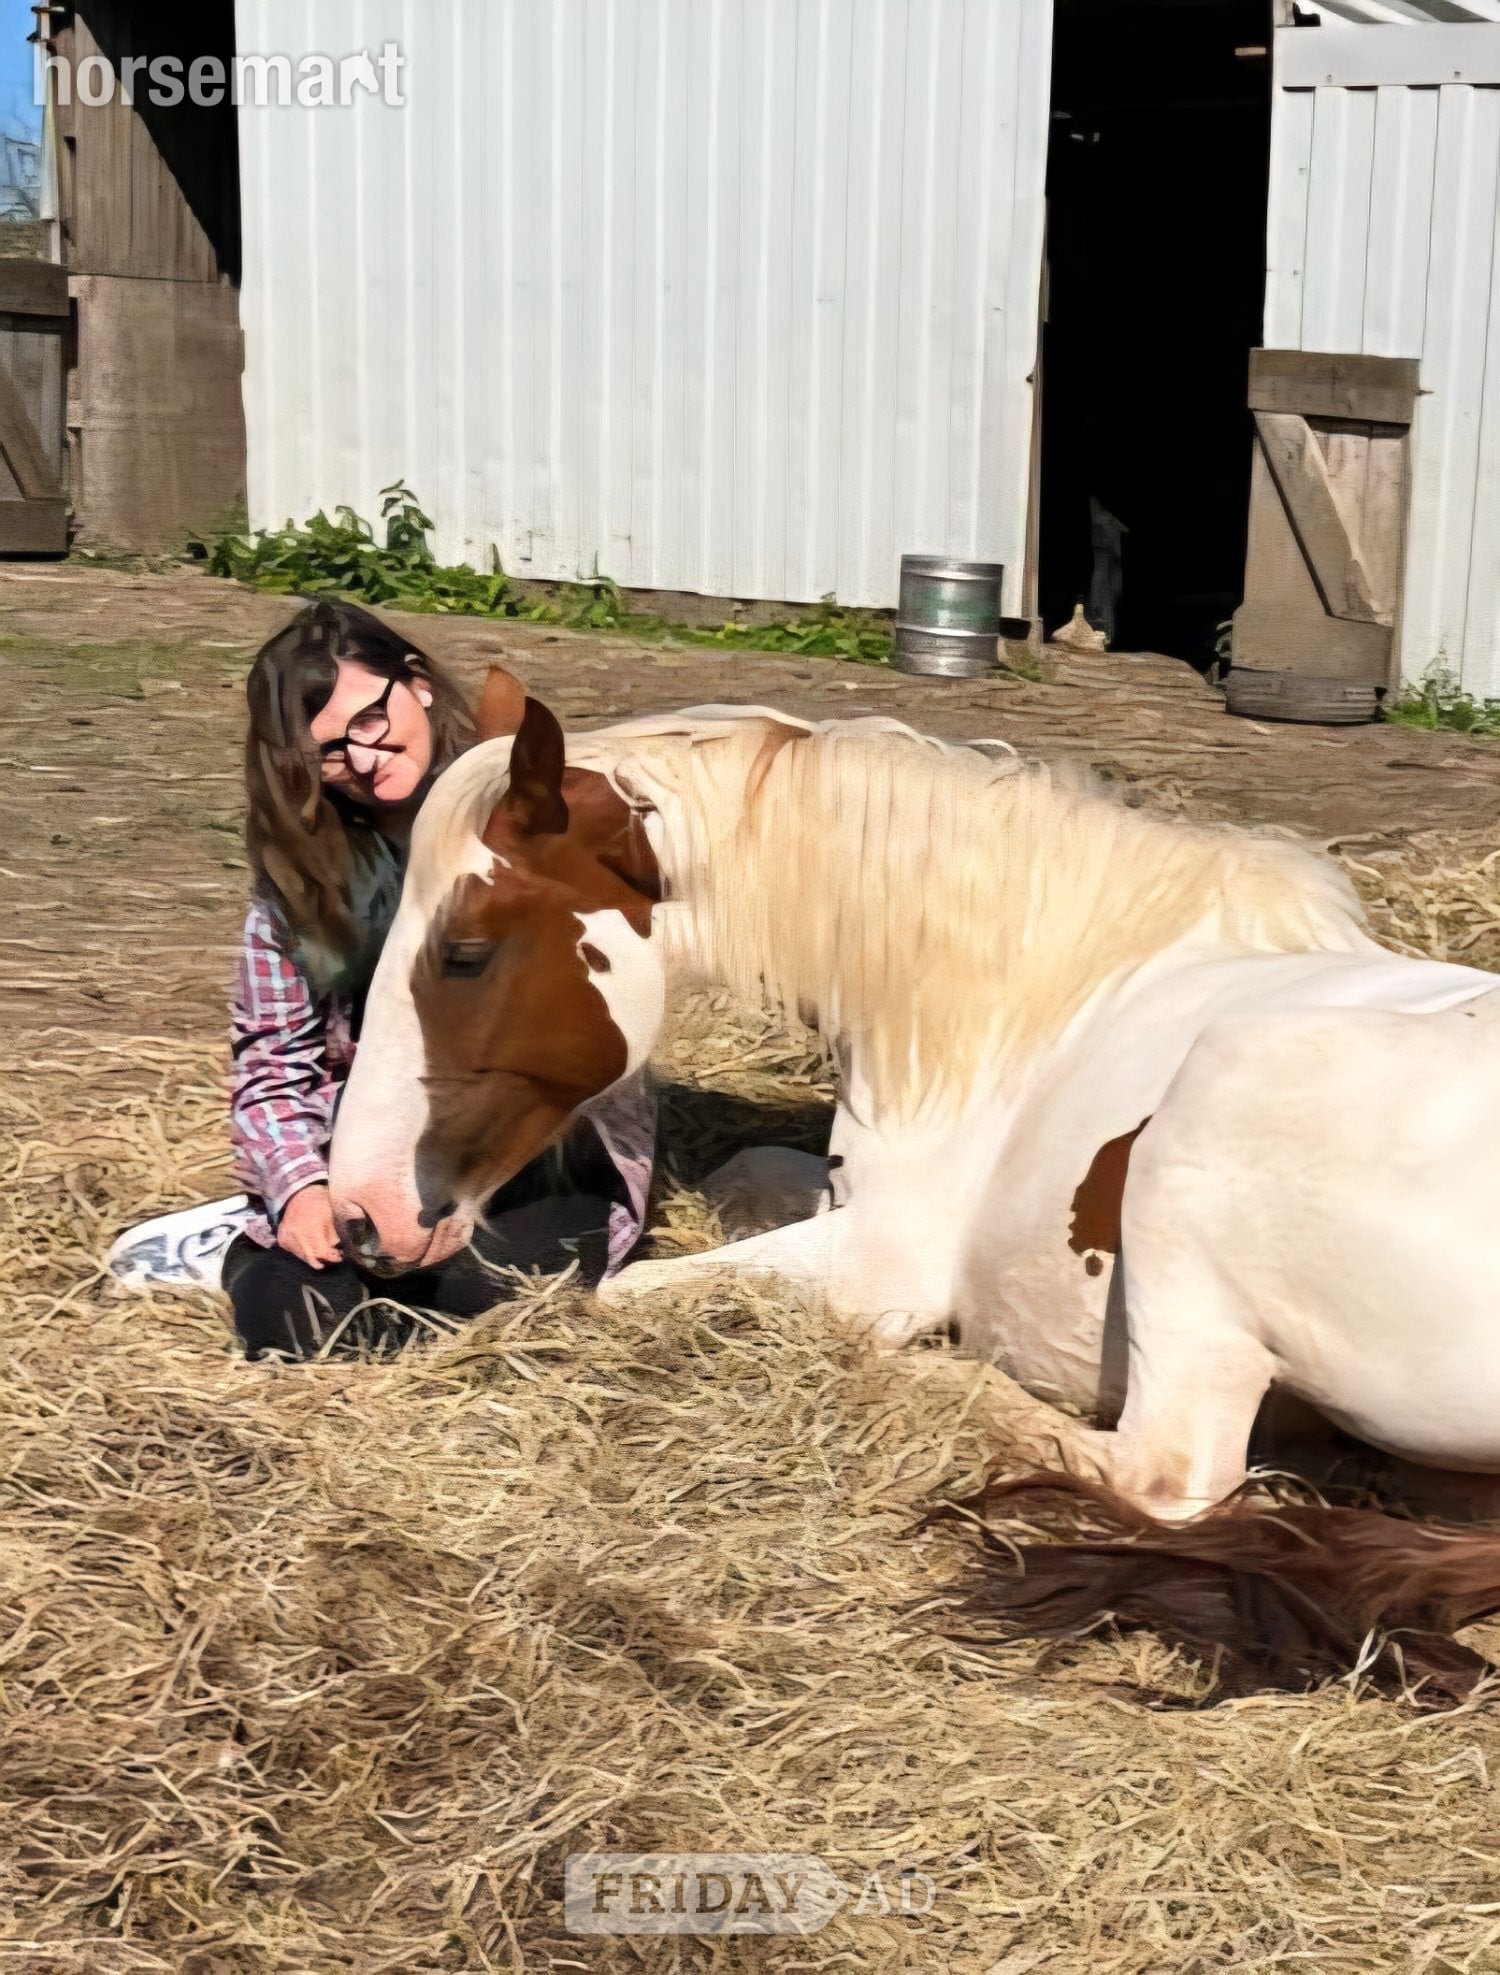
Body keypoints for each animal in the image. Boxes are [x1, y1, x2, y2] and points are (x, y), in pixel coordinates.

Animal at [328, 670, 1500, 1688]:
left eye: (467, 951)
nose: (361, 1215)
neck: (1044, 993)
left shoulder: (883, 1257)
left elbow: (626, 1292)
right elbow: (753, 1169)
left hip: (1223, 1105)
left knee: (1166, 1478)